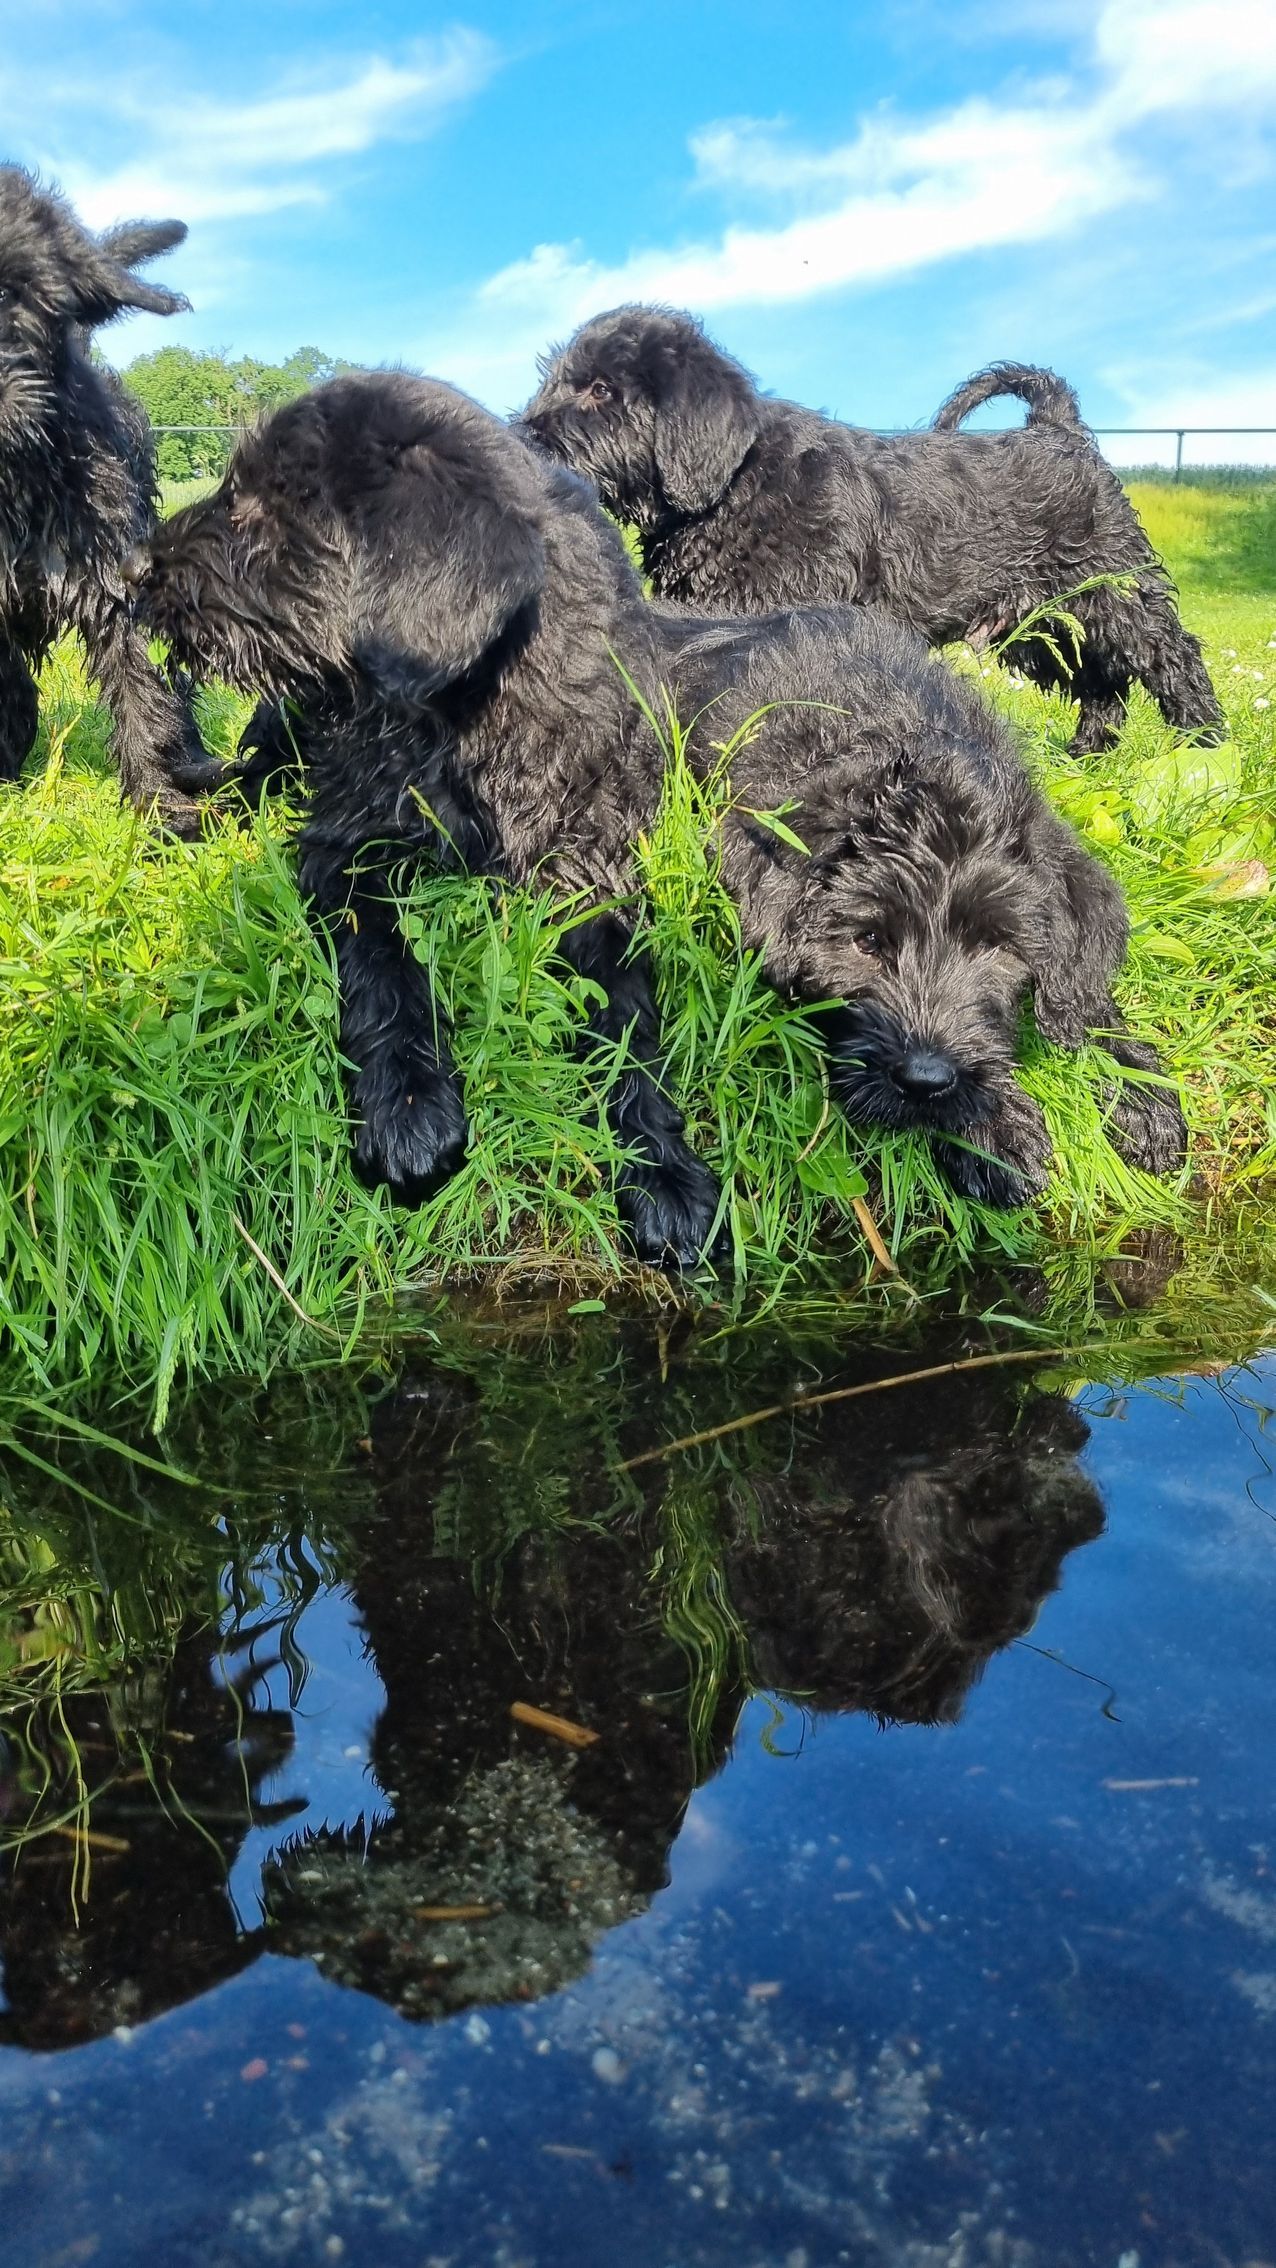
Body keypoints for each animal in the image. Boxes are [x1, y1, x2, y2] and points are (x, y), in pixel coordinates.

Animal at [128, 370, 1184, 1239]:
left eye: (264, 512)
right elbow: (384, 964)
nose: (141, 571)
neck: (475, 715)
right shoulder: (346, 843)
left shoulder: (595, 876)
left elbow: (629, 1022)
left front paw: (664, 1168)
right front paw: (411, 1108)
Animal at [520, 306, 1224, 758]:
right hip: (1040, 625)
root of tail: (1060, 429)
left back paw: (1205, 749)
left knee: (1172, 658)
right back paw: (1087, 757)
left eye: (601, 389)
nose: (524, 436)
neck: (733, 483)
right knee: (1100, 682)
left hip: (1116, 594)